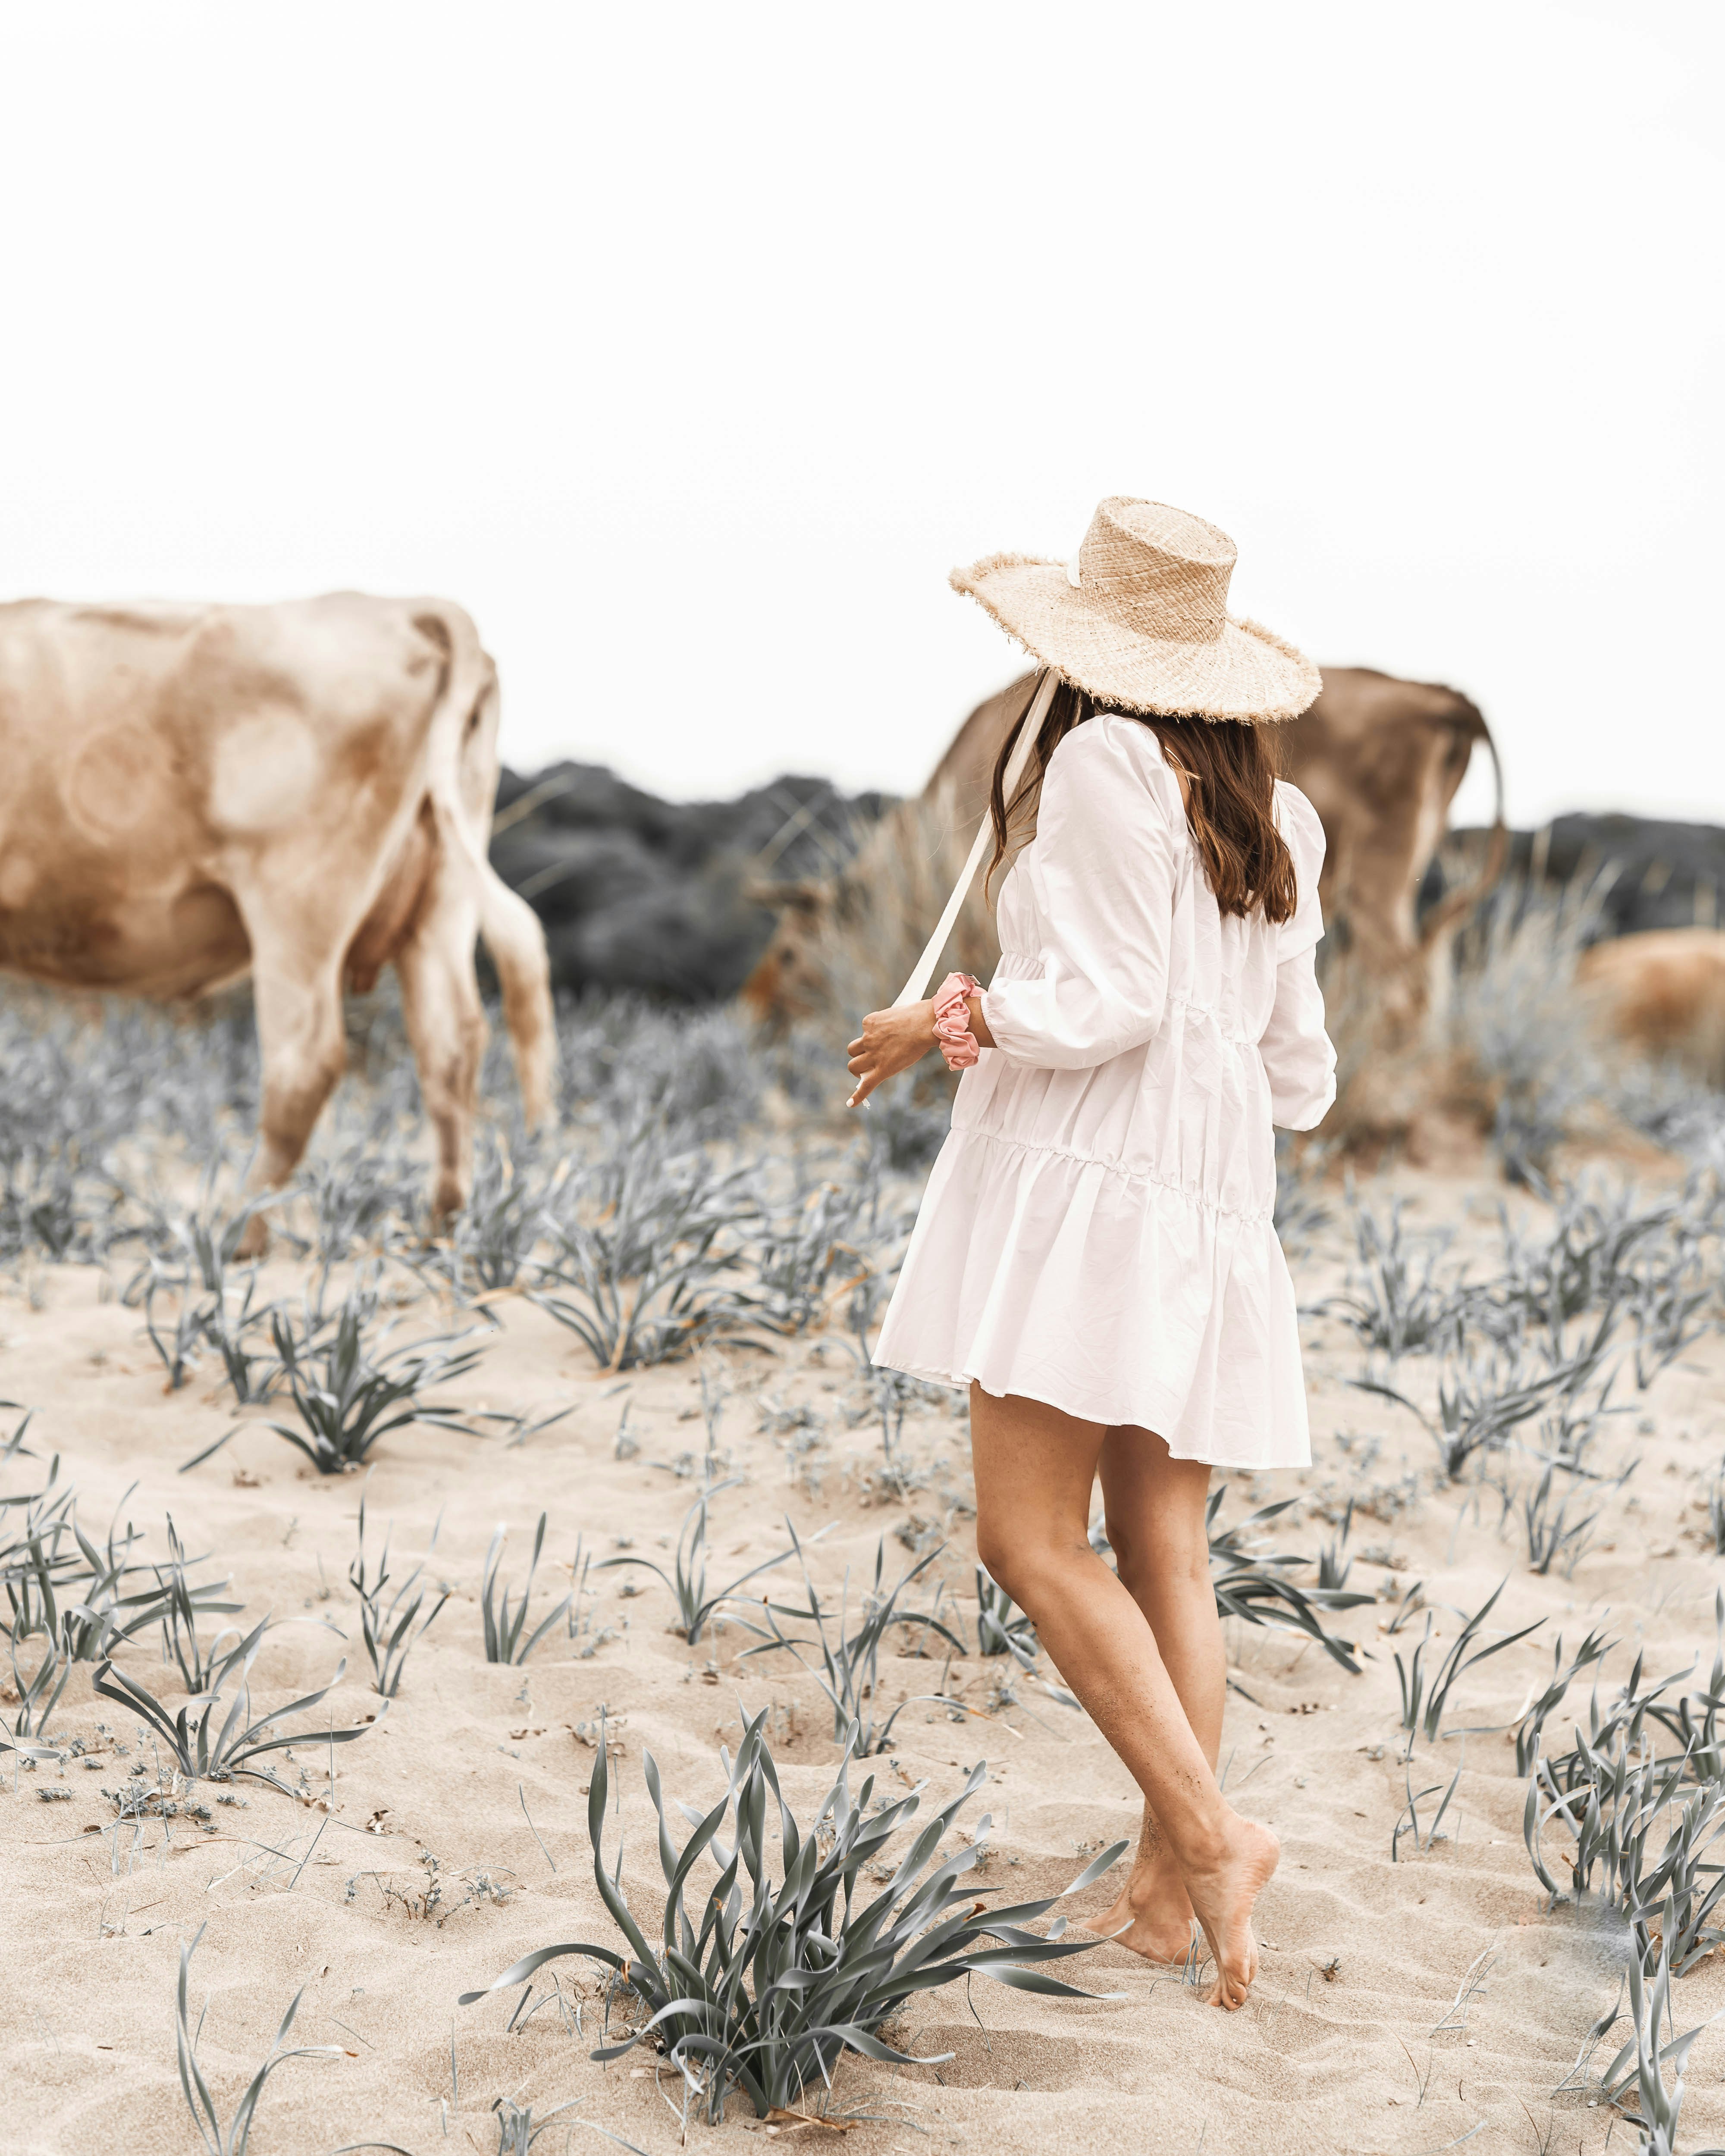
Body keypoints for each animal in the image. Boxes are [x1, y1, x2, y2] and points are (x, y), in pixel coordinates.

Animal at [0, 595, 550, 1250]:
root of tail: (397, 610)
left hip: (299, 900)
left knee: (305, 1064)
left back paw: (236, 1231)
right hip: (441, 899)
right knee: (449, 1047)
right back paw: (440, 1227)